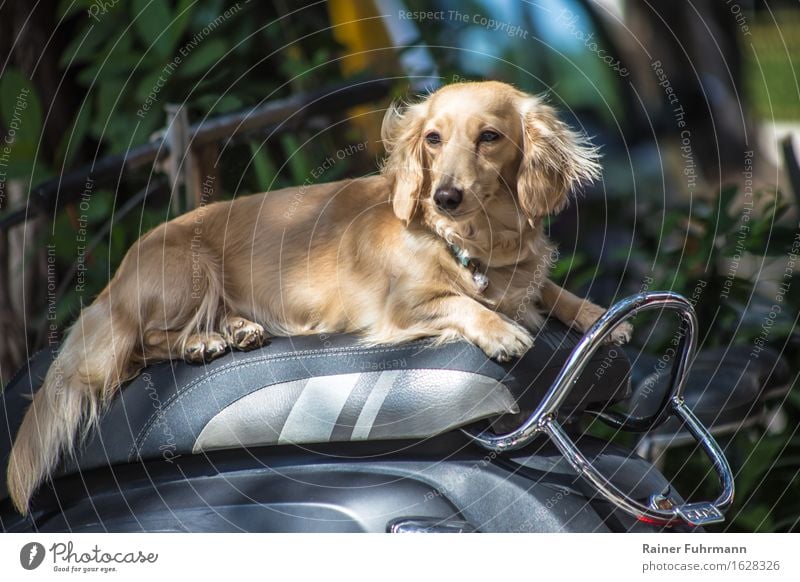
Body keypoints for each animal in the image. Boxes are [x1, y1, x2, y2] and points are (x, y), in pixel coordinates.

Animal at [6, 81, 632, 516]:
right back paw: (205, 341)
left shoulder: (519, 275)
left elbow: (550, 288)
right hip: (186, 271)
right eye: (433, 138)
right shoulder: (402, 307)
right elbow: (461, 303)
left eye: (490, 137)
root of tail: (114, 282)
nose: (445, 196)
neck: (469, 241)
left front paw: (599, 316)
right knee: (143, 346)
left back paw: (236, 329)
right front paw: (501, 330)